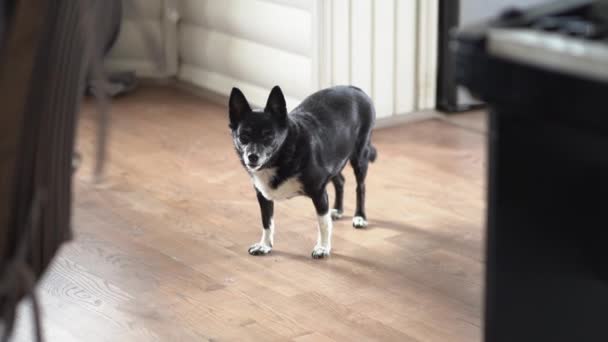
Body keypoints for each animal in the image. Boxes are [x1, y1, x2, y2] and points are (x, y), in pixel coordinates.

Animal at [230, 85, 378, 260]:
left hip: (359, 156)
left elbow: (323, 223)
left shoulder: (319, 192)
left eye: (269, 136)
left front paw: (323, 248)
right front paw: (265, 245)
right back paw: (337, 210)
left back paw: (360, 217)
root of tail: (356, 88)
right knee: (340, 181)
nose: (252, 156)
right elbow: (267, 222)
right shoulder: (263, 196)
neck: (283, 155)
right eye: (243, 137)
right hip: (334, 161)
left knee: (360, 187)